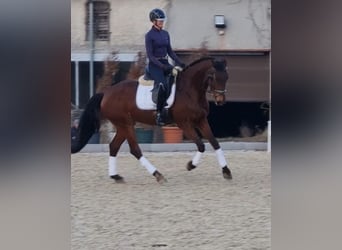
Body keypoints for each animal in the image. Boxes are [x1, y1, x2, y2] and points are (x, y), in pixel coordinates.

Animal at [71, 57, 232, 185]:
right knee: (135, 150)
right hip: (126, 124)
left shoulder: (201, 121)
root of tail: (106, 93)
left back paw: (116, 176)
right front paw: (190, 165)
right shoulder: (184, 123)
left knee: (114, 147)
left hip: (124, 125)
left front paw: (226, 171)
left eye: (226, 77)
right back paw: (158, 175)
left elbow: (215, 143)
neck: (189, 90)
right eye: (214, 77)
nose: (220, 101)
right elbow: (201, 145)